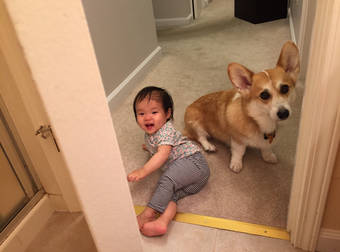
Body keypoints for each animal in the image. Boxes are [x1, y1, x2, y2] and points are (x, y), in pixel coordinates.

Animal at [185, 40, 298, 173]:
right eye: (264, 95)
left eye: (285, 88)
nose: (283, 113)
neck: (260, 121)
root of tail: (191, 104)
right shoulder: (237, 140)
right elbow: (239, 152)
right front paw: (236, 164)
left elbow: (266, 148)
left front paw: (268, 156)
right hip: (195, 123)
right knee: (200, 137)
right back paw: (209, 146)